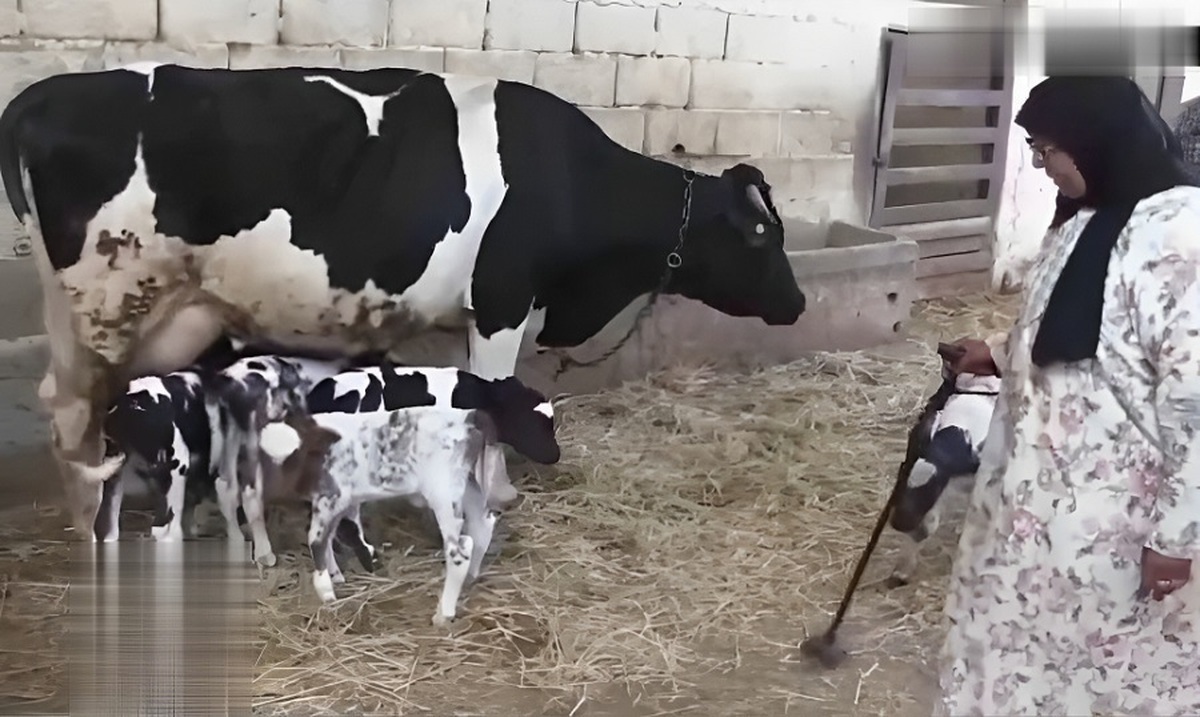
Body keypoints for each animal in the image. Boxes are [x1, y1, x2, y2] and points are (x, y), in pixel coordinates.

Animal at [2, 61, 806, 537]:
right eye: (763, 234)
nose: (797, 304)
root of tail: (42, 94)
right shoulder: (505, 301)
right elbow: (497, 394)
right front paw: (499, 494)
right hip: (105, 302)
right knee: (72, 413)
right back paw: (88, 523)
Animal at [260, 405, 537, 623]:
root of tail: (470, 416)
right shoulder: (340, 501)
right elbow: (331, 536)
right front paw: (336, 575)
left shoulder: (330, 496)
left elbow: (317, 540)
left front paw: (327, 593)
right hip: (470, 484)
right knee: (483, 525)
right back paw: (470, 578)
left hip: (444, 492)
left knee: (459, 549)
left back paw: (443, 613)